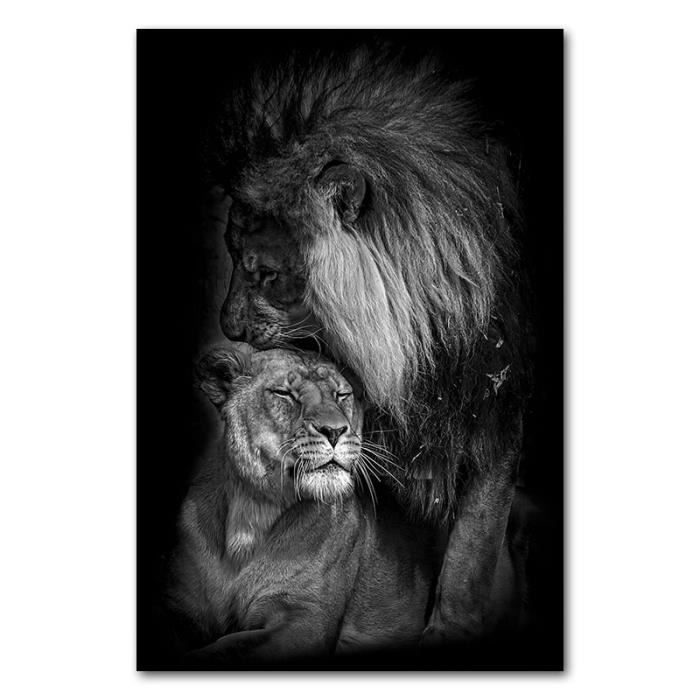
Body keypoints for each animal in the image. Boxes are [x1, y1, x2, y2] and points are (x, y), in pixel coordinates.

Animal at [165, 343, 451, 666]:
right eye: (283, 393)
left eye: (342, 395)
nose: (335, 431)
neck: (251, 513)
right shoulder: (179, 607)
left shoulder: (305, 621)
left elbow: (226, 648)